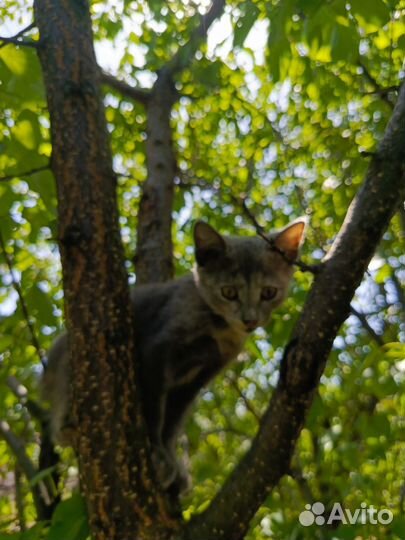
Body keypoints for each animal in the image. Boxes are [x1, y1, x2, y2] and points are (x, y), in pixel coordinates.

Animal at [42, 218, 304, 494]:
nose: (249, 319)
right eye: (229, 292)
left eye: (268, 293)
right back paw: (68, 423)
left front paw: (171, 462)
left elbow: (173, 420)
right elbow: (154, 409)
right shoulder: (156, 349)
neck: (218, 328)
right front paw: (157, 454)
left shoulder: (199, 377)